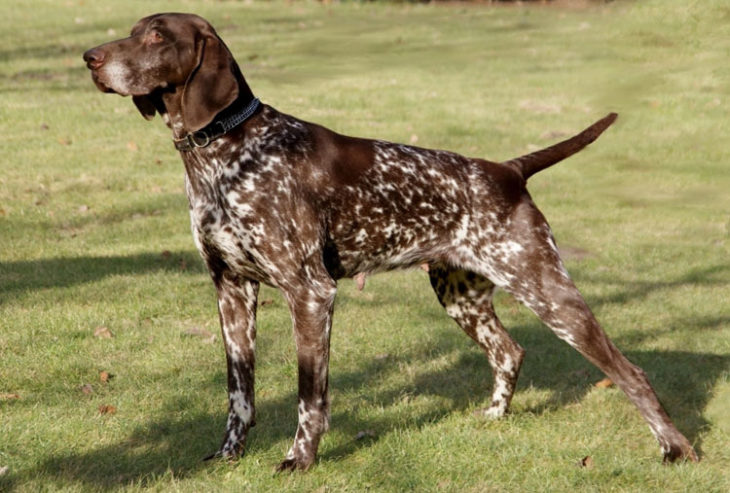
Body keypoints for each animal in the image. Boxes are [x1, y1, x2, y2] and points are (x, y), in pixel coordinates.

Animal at [82, 13, 696, 468]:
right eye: (134, 30)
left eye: (156, 36)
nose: (89, 57)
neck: (225, 153)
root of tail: (506, 170)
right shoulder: (231, 289)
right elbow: (240, 393)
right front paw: (229, 455)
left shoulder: (310, 293)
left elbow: (309, 397)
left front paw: (300, 461)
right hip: (460, 296)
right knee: (509, 351)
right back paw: (494, 418)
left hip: (547, 291)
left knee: (629, 373)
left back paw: (676, 448)